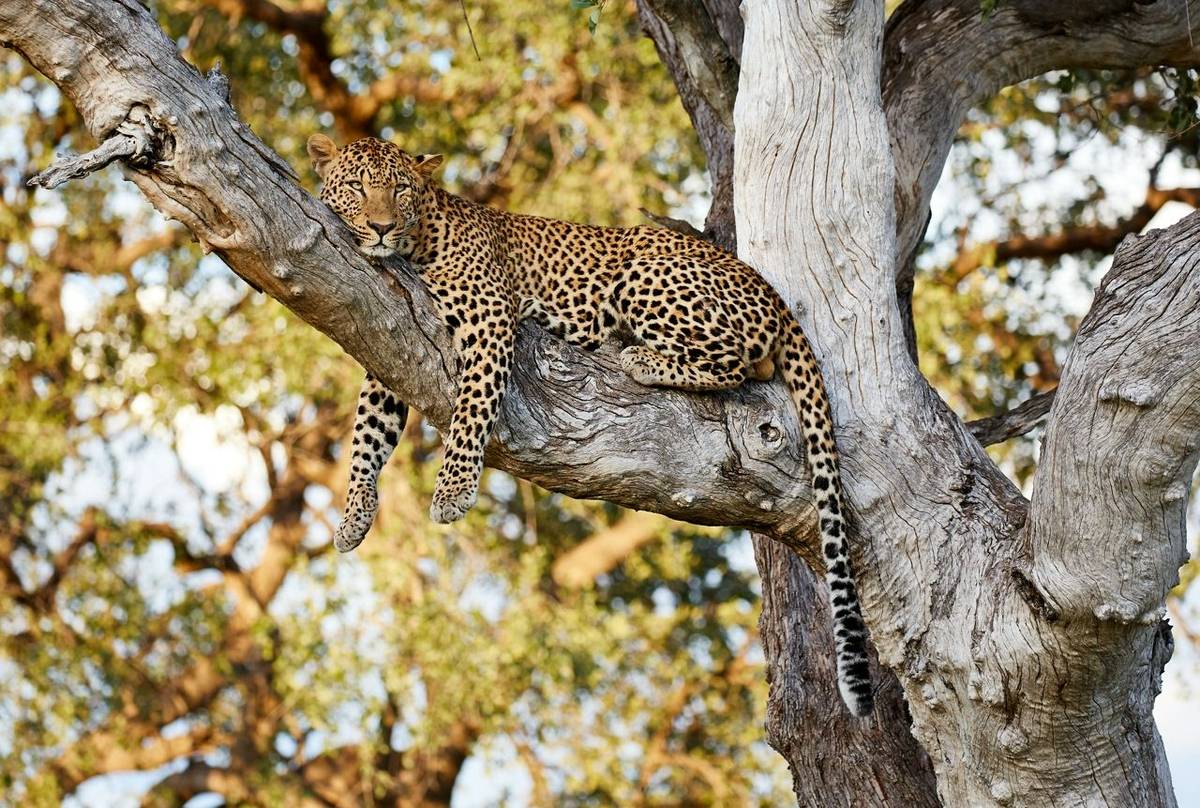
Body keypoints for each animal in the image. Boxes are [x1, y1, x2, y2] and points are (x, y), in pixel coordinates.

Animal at [307, 133, 873, 720]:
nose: (380, 227)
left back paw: (637, 357)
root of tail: (771, 290)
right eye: (357, 188)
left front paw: (453, 492)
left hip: (644, 275)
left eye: (399, 189)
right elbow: (366, 435)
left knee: (737, 362)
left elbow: (471, 409)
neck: (417, 241)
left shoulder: (489, 318)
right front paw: (353, 517)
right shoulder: (388, 341)